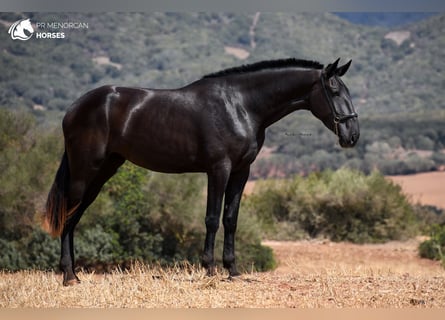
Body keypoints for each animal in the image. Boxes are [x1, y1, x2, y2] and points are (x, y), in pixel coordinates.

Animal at [45, 57, 358, 284]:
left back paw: (73, 275)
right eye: (334, 90)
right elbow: (211, 219)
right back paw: (69, 276)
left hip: (104, 170)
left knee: (74, 216)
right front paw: (209, 269)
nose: (352, 135)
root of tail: (73, 109)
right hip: (85, 170)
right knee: (68, 215)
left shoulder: (242, 172)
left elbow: (231, 219)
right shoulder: (219, 169)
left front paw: (232, 271)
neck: (241, 105)